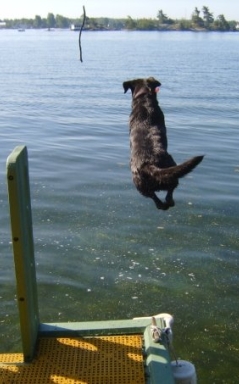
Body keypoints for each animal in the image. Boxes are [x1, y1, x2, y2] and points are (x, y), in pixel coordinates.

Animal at [123, 77, 204, 212]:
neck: (144, 98)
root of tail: (149, 164)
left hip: (142, 186)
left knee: (160, 200)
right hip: (165, 176)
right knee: (165, 197)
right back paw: (168, 202)